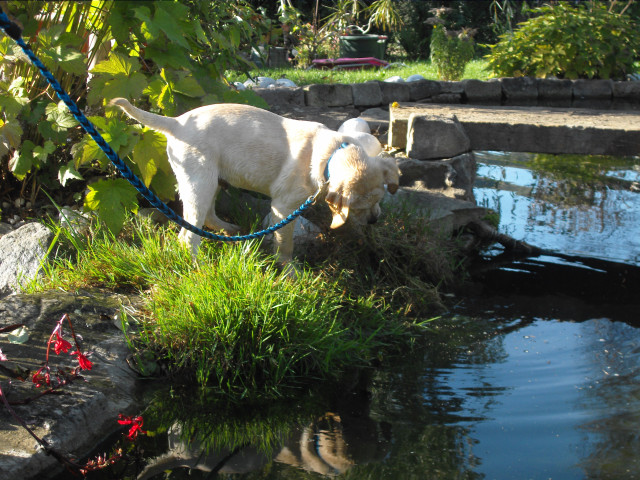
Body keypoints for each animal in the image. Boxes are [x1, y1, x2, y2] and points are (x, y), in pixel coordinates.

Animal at [111, 99, 400, 268]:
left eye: (380, 200)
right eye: (360, 208)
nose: (374, 220)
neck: (331, 153)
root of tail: (177, 123)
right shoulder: (284, 207)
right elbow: (285, 244)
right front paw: (289, 271)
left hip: (212, 180)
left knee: (208, 217)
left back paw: (230, 230)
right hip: (199, 182)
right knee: (187, 236)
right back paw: (198, 268)